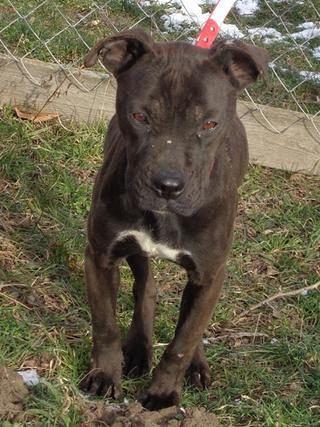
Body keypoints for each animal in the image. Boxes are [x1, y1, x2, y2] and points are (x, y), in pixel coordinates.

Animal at [80, 27, 268, 412]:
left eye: (209, 123)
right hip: (135, 250)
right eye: (139, 117)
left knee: (191, 321)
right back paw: (139, 349)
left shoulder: (209, 274)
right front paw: (105, 375)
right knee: (146, 286)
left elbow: (183, 342)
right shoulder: (100, 256)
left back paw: (194, 364)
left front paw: (164, 394)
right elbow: (105, 325)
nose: (167, 186)